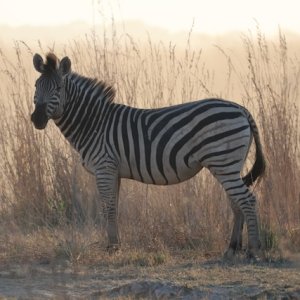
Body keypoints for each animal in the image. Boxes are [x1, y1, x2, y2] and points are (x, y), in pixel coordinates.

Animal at [30, 52, 264, 258]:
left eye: (58, 88)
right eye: (35, 86)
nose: (37, 119)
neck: (94, 123)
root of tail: (241, 109)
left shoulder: (104, 168)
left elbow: (108, 208)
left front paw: (112, 248)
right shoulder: (114, 172)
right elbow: (113, 208)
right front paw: (116, 244)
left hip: (224, 162)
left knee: (248, 200)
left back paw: (253, 250)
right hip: (228, 165)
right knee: (237, 202)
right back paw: (232, 248)